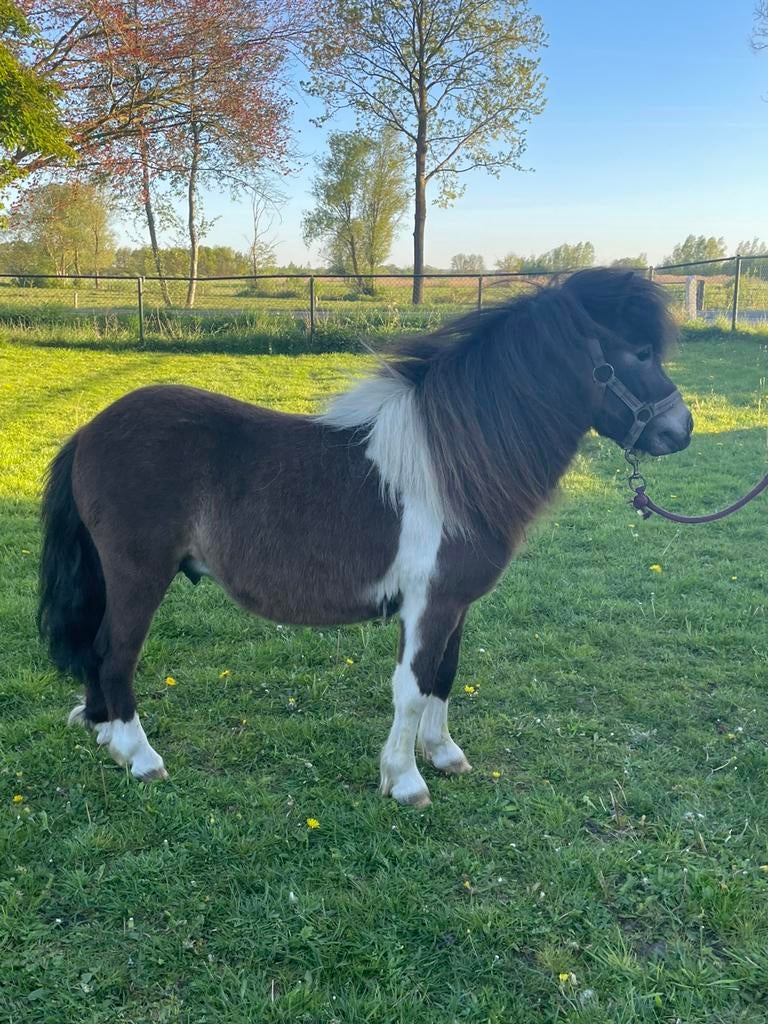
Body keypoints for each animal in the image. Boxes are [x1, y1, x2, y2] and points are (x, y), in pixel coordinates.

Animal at [38, 268, 693, 806]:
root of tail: (90, 430)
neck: (453, 464)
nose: (680, 430)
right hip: (139, 575)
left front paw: (444, 754)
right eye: (638, 352)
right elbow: (412, 687)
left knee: (97, 652)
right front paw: (405, 781)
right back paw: (140, 756)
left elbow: (444, 675)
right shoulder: (428, 606)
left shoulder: (454, 604)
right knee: (116, 653)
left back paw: (106, 735)